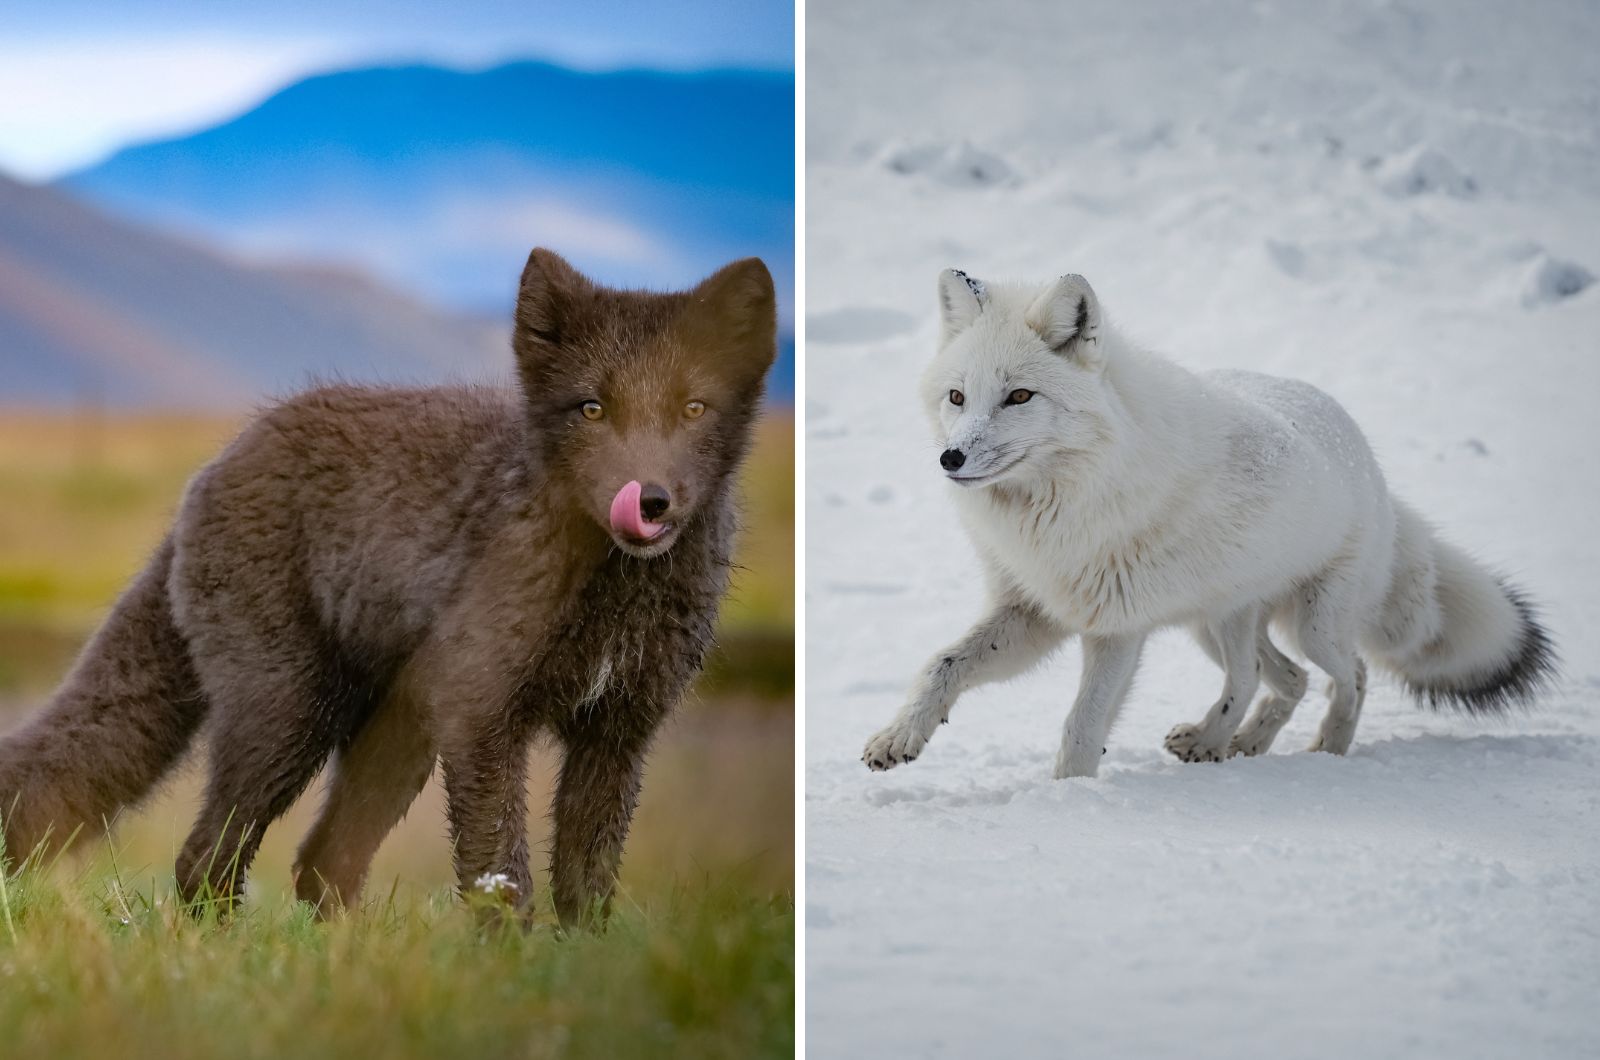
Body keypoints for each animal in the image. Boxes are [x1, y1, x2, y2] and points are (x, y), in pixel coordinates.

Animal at [0, 249, 777, 928]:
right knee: (207, 859)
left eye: (693, 409)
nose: (648, 500)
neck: (610, 589)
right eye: (591, 409)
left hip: (394, 737)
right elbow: (501, 871)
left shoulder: (617, 732)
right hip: (291, 713)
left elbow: (586, 884)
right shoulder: (484, 715)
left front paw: (576, 970)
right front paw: (512, 966)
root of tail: (220, 462)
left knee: (320, 862)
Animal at [870, 270, 1555, 778]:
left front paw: (1070, 801)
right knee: (1277, 678)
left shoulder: (1116, 628)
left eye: (1018, 397)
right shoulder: (1034, 609)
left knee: (1343, 676)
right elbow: (942, 665)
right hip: (1215, 624)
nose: (951, 458)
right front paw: (898, 738)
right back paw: (1232, 743)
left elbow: (1081, 728)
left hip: (1311, 626)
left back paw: (1321, 750)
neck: (1062, 509)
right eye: (957, 397)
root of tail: (1370, 465)